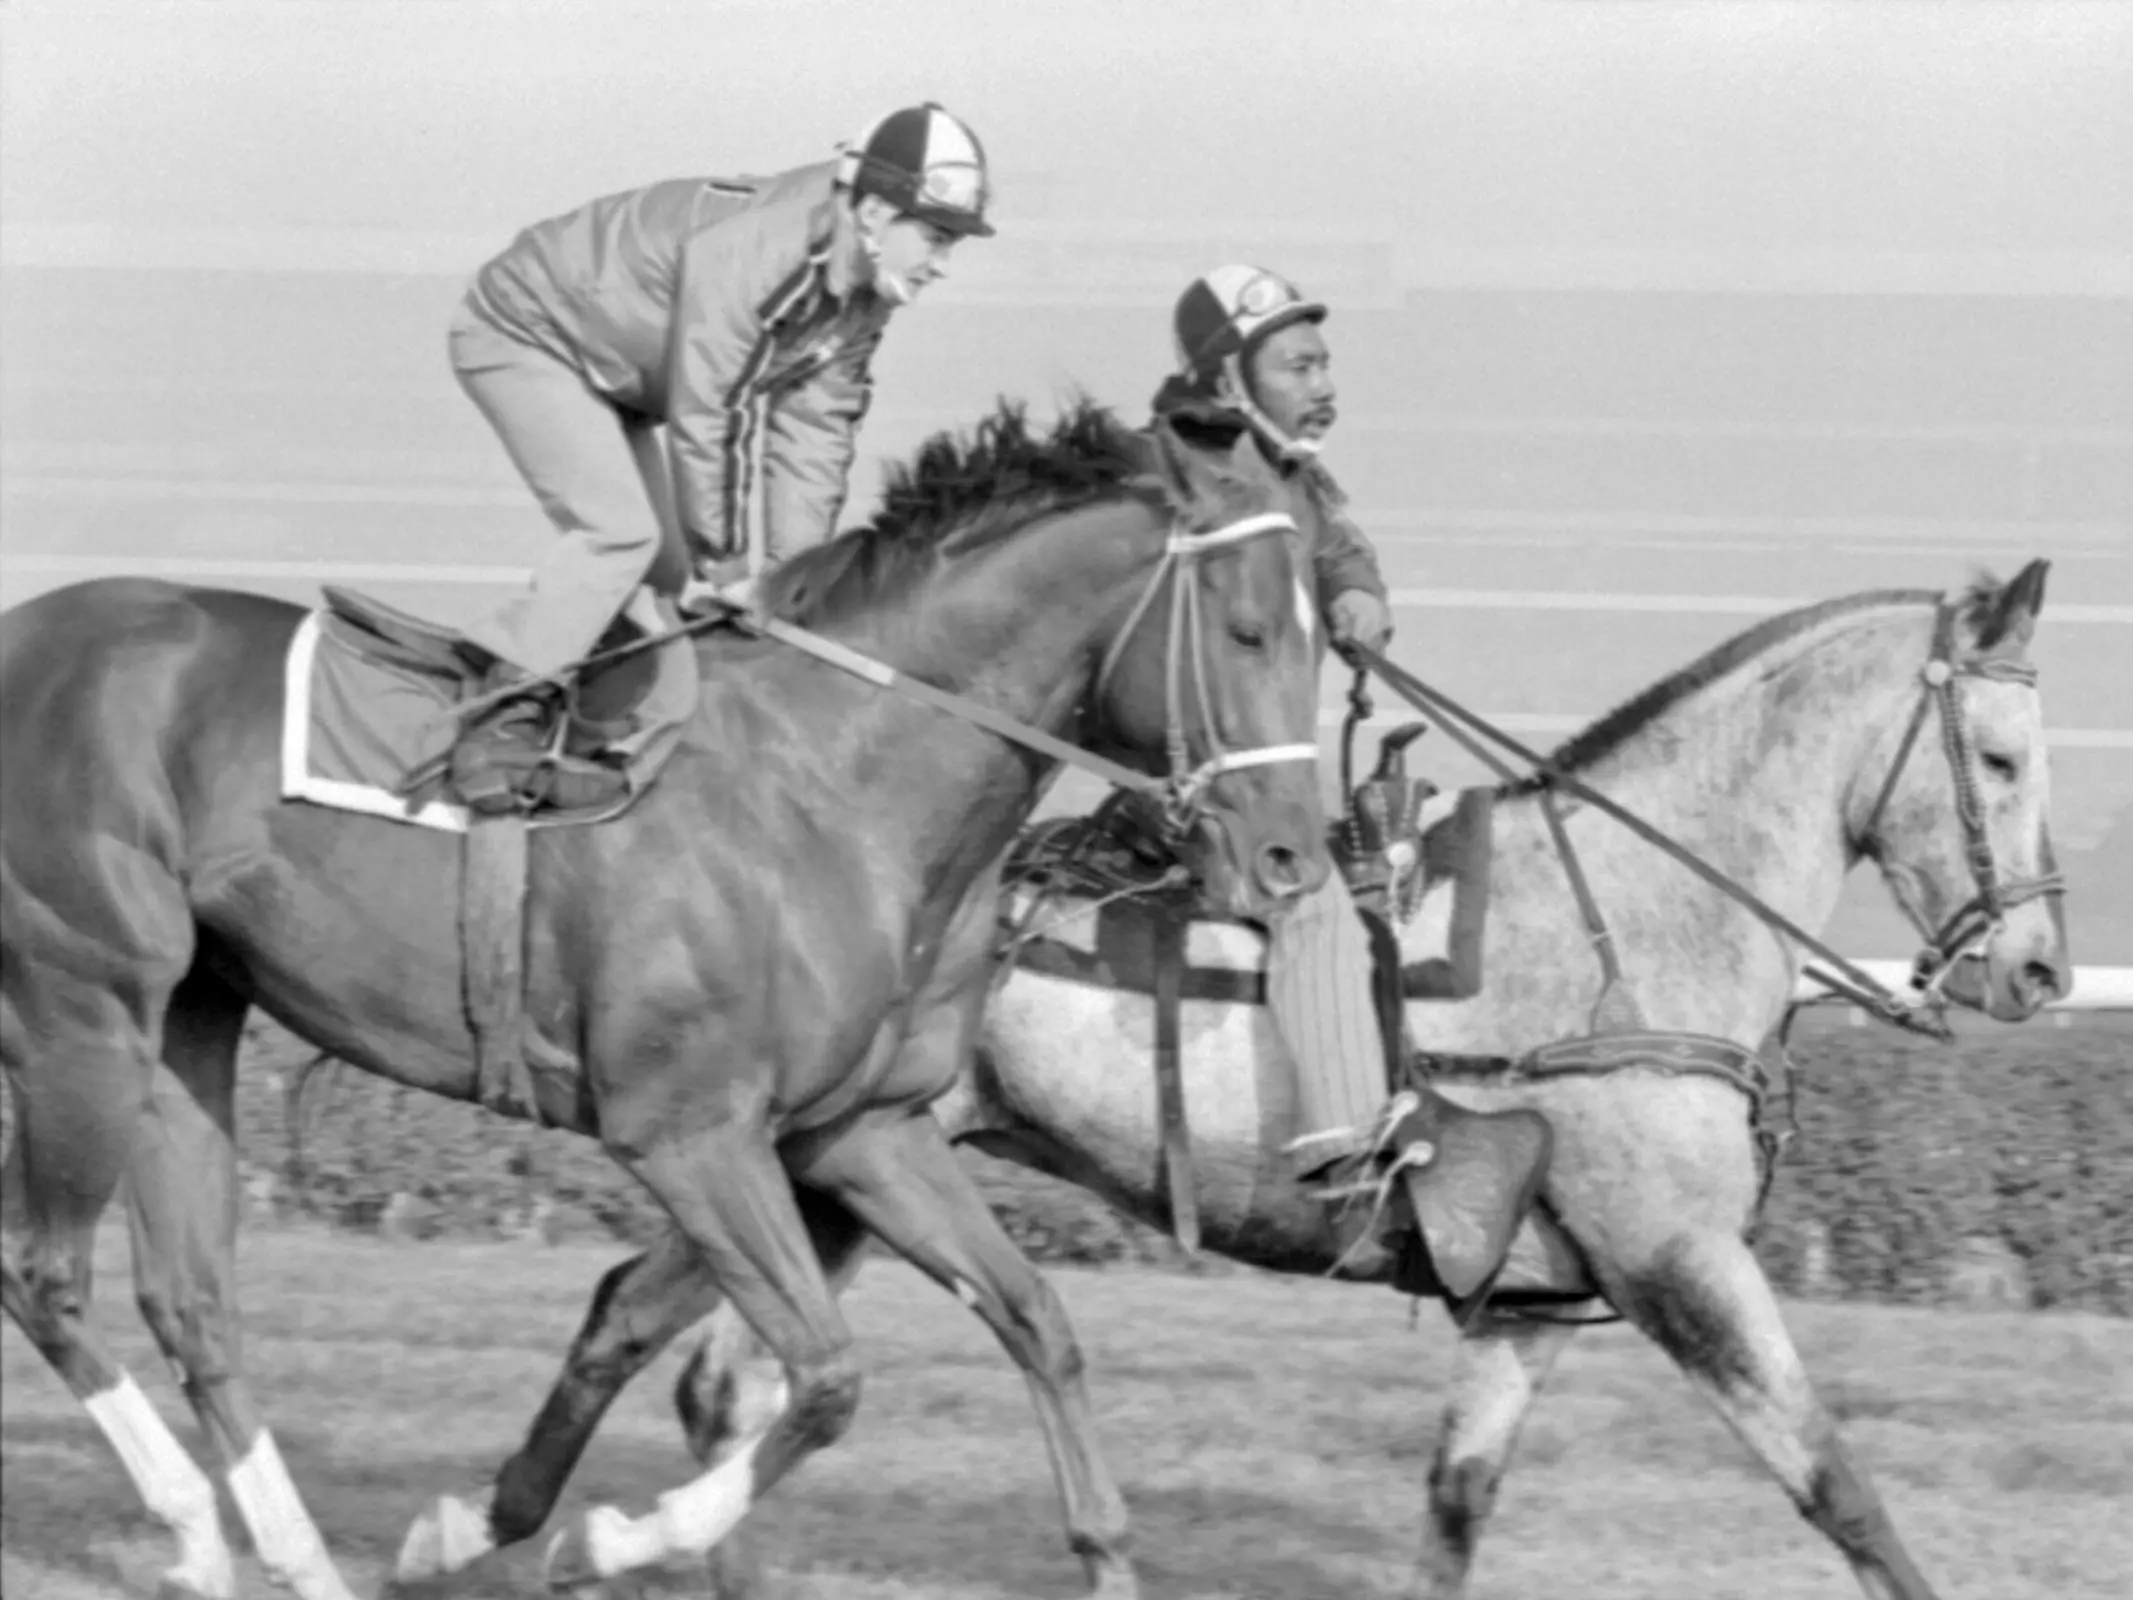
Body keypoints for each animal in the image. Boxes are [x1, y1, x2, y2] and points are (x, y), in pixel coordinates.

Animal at [0, 398, 1330, 1600]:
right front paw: (606, 1538)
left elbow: (1034, 1316)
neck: (839, 786)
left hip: (189, 1017)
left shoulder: (863, 1132)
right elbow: (828, 1375)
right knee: (45, 1271)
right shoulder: (692, 1134)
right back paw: (191, 1530)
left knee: (193, 1302)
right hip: (83, 1006)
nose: (1291, 858)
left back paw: (297, 1558)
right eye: (1250, 630)